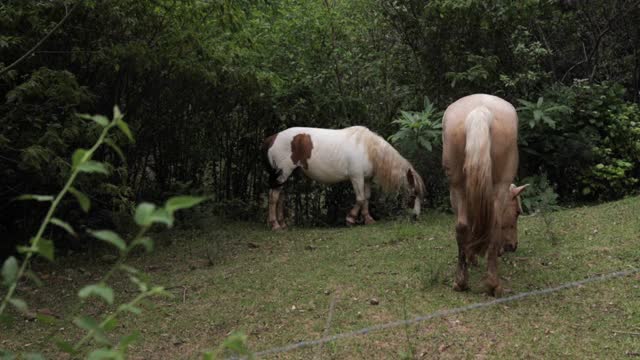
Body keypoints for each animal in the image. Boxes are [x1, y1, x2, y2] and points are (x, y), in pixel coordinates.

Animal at [264, 125, 424, 229]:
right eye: (413, 194)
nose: (416, 216)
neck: (368, 149)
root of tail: (272, 138)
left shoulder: (366, 179)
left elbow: (366, 198)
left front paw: (368, 219)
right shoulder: (356, 177)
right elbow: (360, 199)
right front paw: (350, 219)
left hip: (287, 175)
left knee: (281, 196)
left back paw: (283, 224)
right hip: (283, 173)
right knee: (273, 197)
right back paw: (275, 225)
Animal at [442, 94, 528, 296]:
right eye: (518, 213)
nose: (513, 246)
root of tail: (480, 111)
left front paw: (471, 255)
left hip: (456, 187)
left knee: (462, 226)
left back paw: (461, 282)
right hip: (498, 186)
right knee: (493, 226)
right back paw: (493, 285)